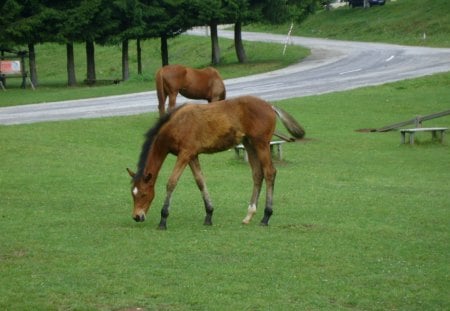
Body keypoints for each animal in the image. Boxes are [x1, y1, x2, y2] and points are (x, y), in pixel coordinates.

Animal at [126, 95, 306, 229]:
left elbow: (172, 182)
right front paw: (209, 215)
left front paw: (163, 219)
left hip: (261, 144)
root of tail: (270, 106)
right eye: (132, 194)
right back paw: (249, 215)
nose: (137, 216)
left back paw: (266, 216)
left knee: (269, 172)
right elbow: (200, 181)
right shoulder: (192, 155)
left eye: (143, 194)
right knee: (257, 174)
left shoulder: (184, 154)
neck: (176, 125)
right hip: (249, 144)